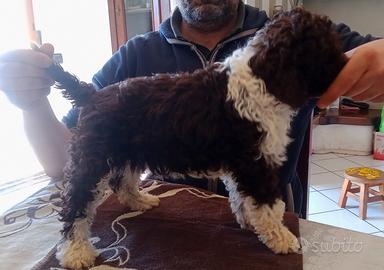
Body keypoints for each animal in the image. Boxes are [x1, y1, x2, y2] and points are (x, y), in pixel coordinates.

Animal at [48, 7, 344, 268]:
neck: (263, 77)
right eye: (326, 48)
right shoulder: (255, 163)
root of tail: (92, 94)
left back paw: (139, 201)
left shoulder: (242, 164)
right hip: (92, 158)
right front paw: (281, 238)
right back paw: (76, 252)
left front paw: (249, 221)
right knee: (76, 202)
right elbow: (268, 205)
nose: (346, 66)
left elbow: (242, 197)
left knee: (122, 181)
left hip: (127, 150)